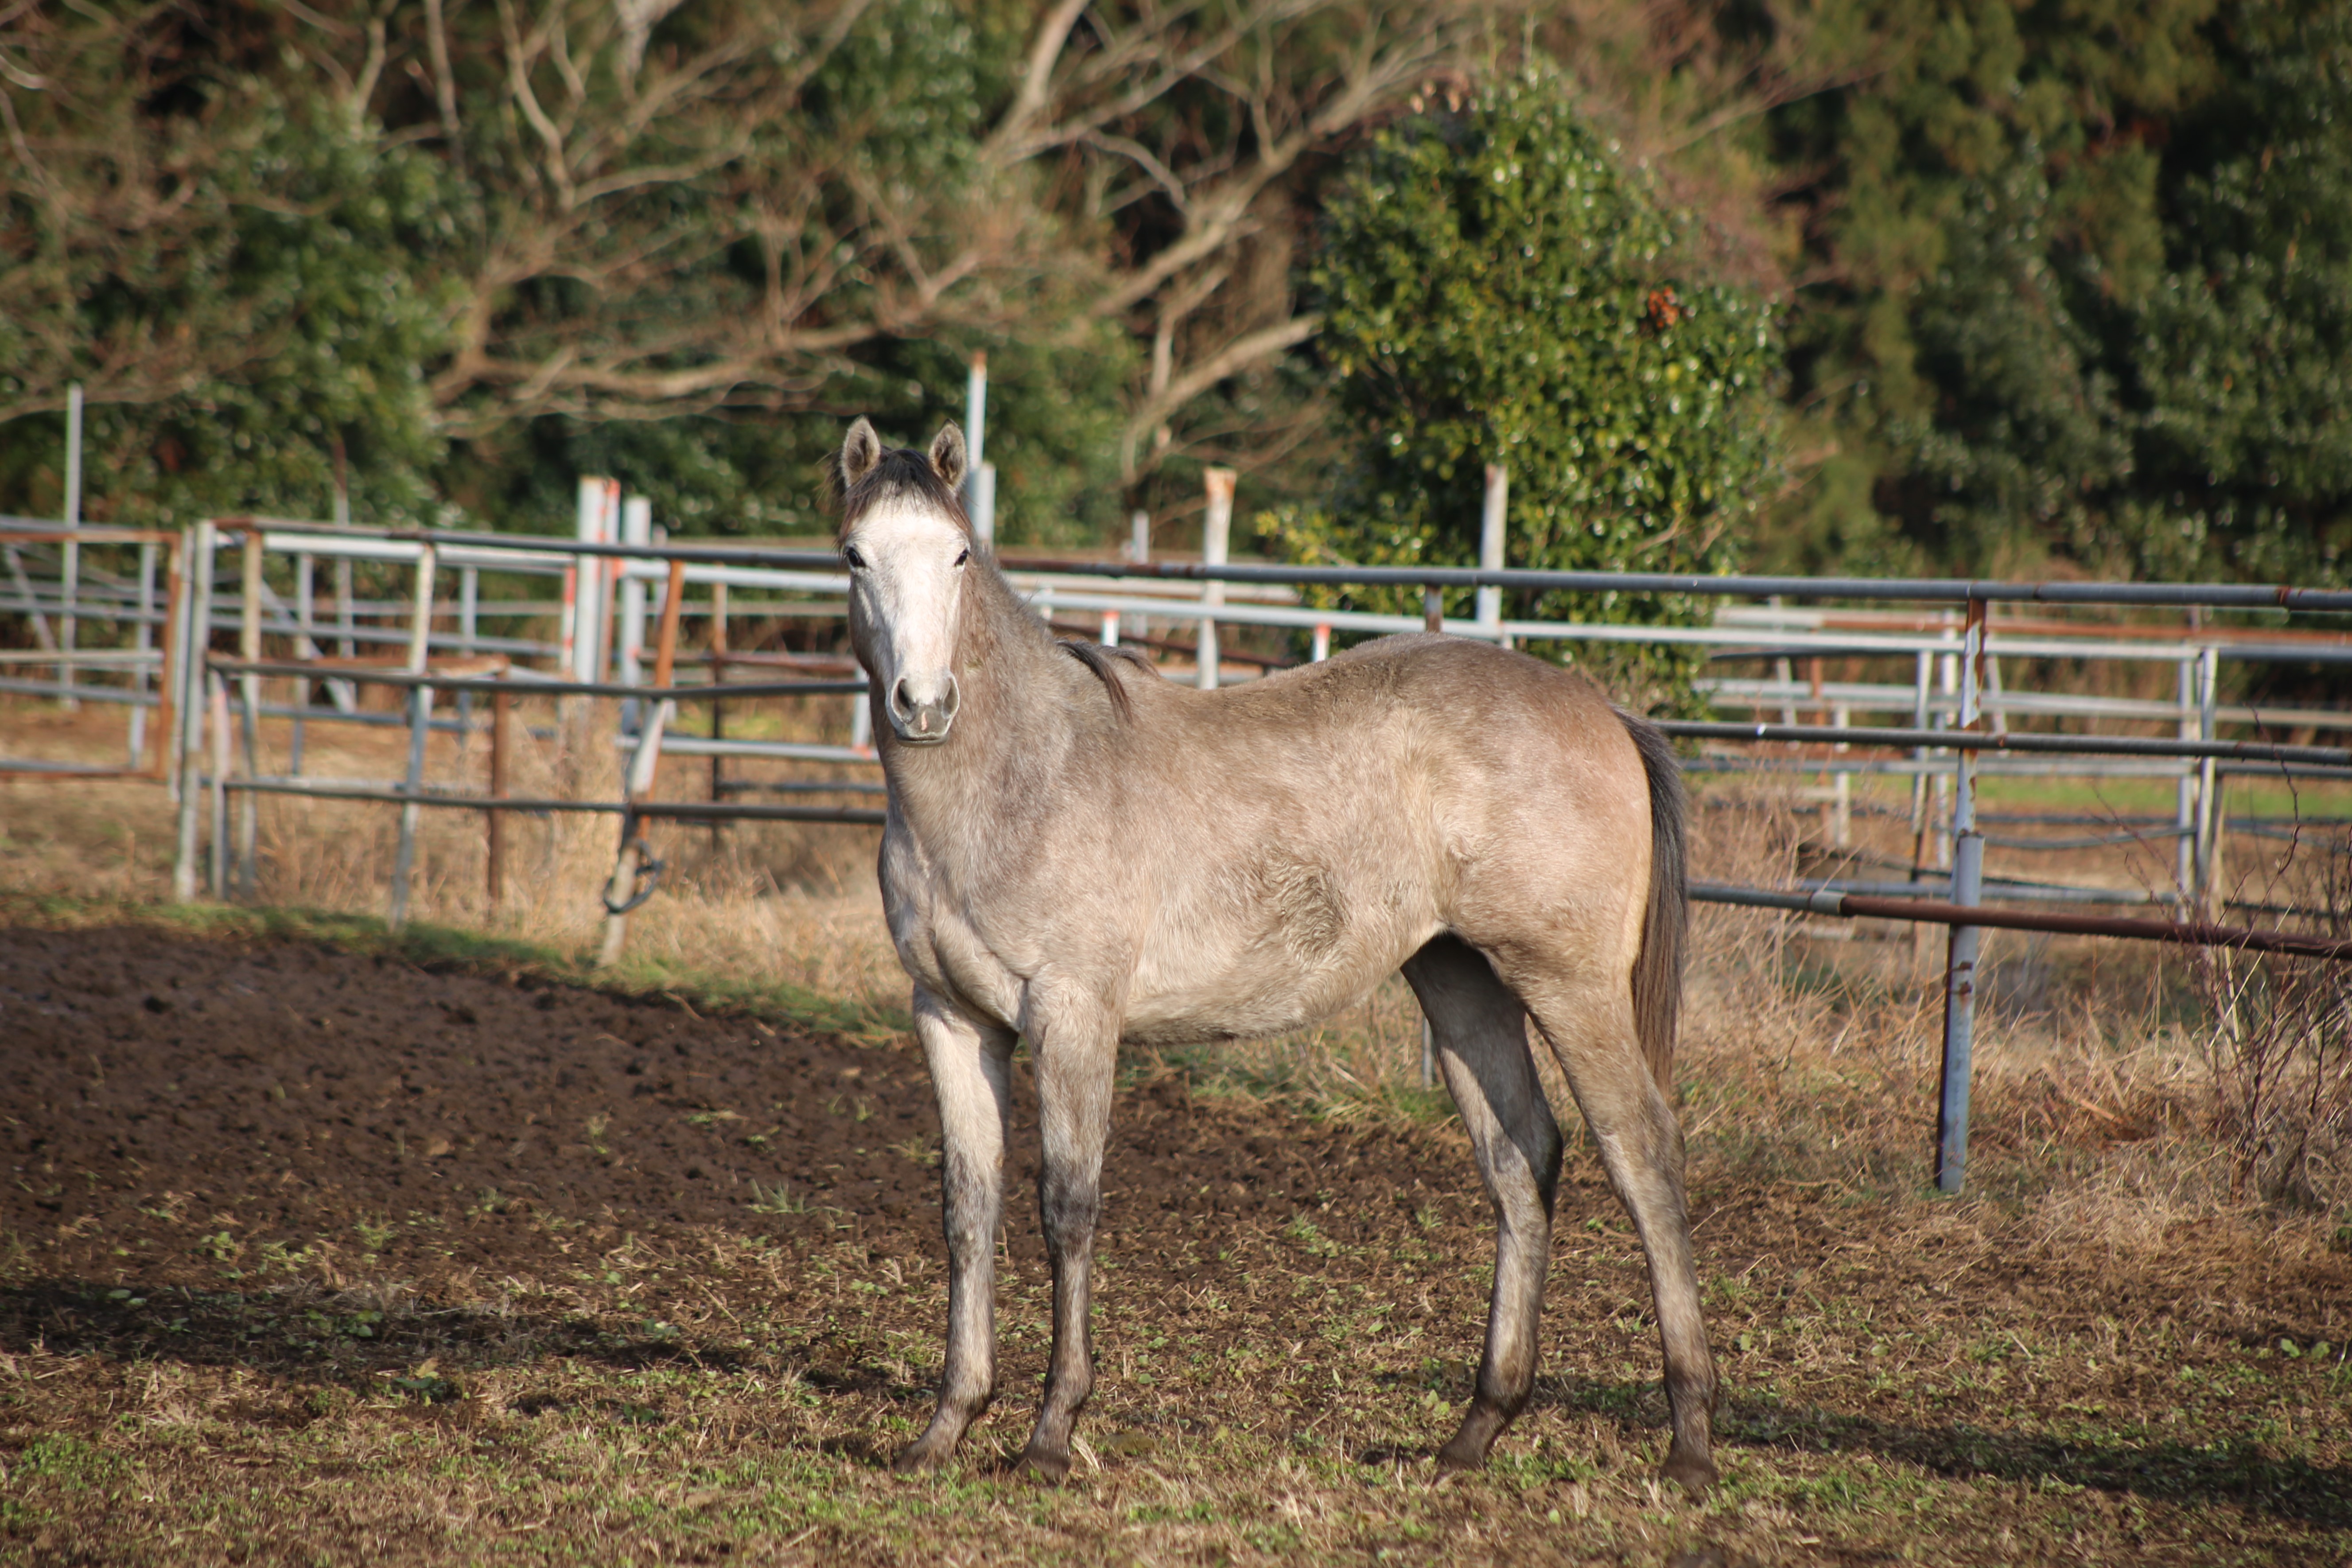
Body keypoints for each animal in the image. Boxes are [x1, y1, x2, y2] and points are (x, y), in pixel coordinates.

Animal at [837, 420, 1722, 1495]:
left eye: (960, 554)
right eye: (855, 555)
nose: (922, 704)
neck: (1019, 775)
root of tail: (1606, 713)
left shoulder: (1072, 1012)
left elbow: (1066, 1207)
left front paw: (1050, 1431)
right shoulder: (950, 1016)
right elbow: (967, 1212)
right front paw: (944, 1426)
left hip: (1569, 985)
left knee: (1641, 1150)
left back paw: (1687, 1439)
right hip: (1460, 981)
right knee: (1520, 1159)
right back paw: (1474, 1430)